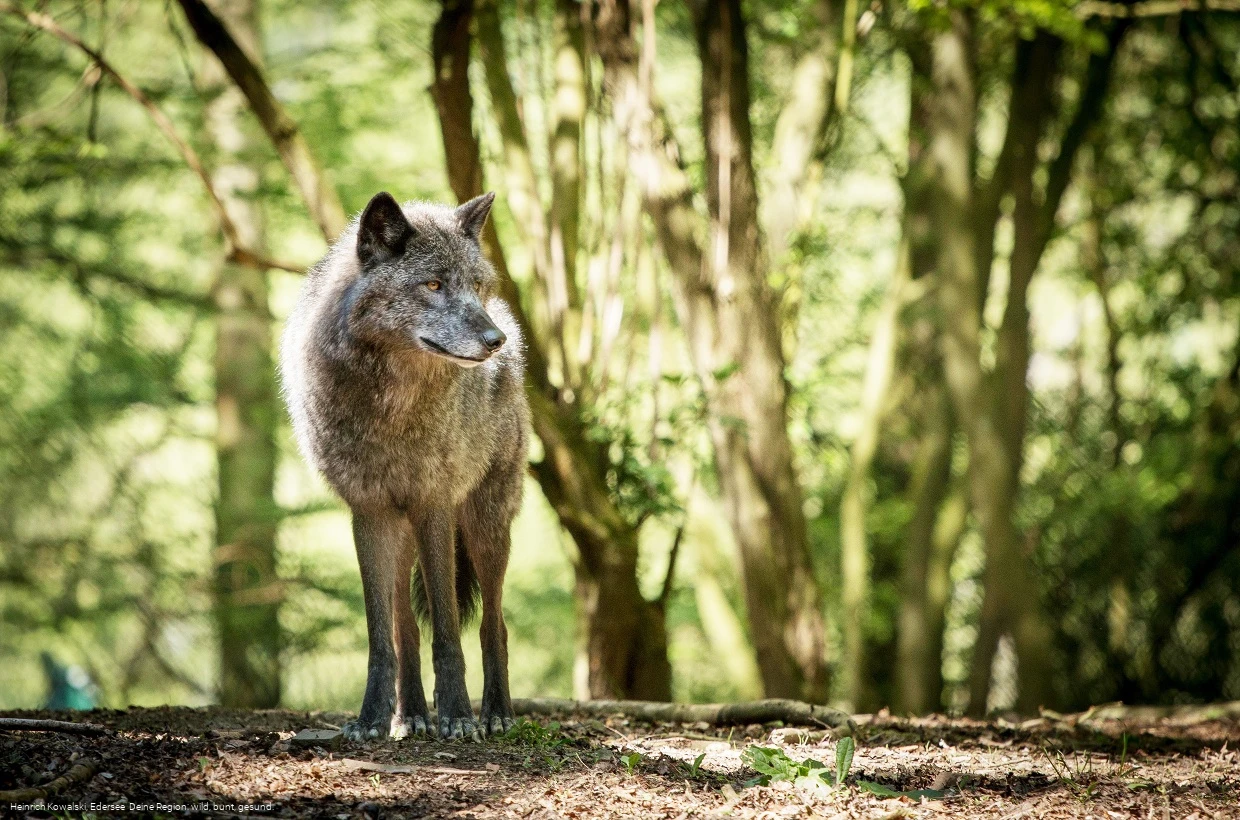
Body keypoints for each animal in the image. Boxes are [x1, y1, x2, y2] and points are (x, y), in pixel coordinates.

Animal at [280, 191, 527, 741]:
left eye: (475, 287)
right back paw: (409, 714)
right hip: (401, 531)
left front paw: (457, 716)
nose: (495, 340)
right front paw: (373, 717)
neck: (391, 406)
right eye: (433, 284)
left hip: (484, 525)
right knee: (405, 628)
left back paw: (496, 713)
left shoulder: (434, 504)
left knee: (494, 624)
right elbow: (382, 636)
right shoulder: (369, 513)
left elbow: (449, 634)